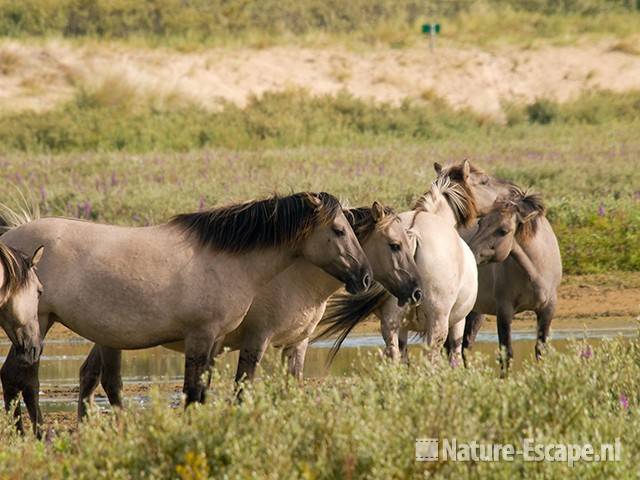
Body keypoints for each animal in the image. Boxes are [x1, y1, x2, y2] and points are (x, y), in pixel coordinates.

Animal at [0, 192, 372, 436]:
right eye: (339, 230)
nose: (365, 276)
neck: (228, 260)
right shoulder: (202, 336)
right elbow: (193, 393)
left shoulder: (216, 341)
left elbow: (205, 392)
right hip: (38, 323)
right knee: (27, 379)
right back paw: (38, 432)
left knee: (15, 376)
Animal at [75, 201, 422, 414]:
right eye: (394, 245)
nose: (417, 290)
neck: (295, 273)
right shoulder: (257, 339)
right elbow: (242, 390)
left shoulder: (297, 343)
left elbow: (292, 388)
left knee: (88, 375)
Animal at [318, 171, 478, 366]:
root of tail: (414, 232)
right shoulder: (457, 322)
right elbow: (455, 356)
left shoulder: (402, 326)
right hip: (438, 322)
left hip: (392, 320)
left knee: (394, 354)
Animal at [438, 161, 564, 368]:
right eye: (480, 224)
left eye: (503, 230)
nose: (470, 253)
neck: (535, 271)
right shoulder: (504, 311)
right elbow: (507, 353)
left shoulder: (548, 309)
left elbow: (540, 351)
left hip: (475, 312)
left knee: (464, 346)